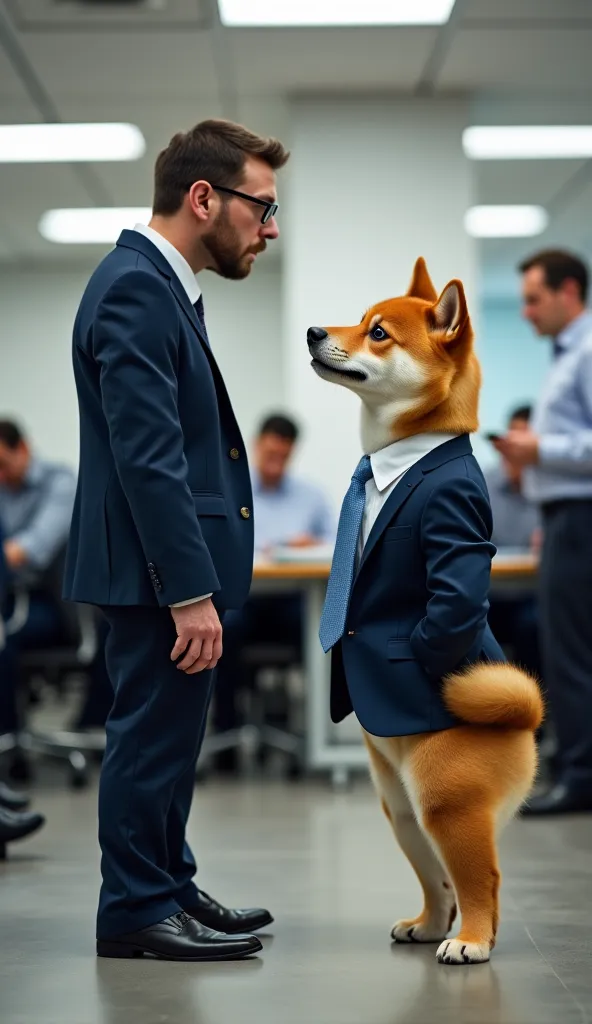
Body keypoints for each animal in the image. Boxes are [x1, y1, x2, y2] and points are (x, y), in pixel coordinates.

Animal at [309, 258, 544, 966]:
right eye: (359, 321)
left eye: (378, 332)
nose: (314, 332)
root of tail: (525, 717)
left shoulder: (453, 525)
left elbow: (451, 595)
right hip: (400, 805)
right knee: (439, 881)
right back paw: (430, 924)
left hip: (443, 798)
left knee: (482, 879)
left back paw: (470, 940)